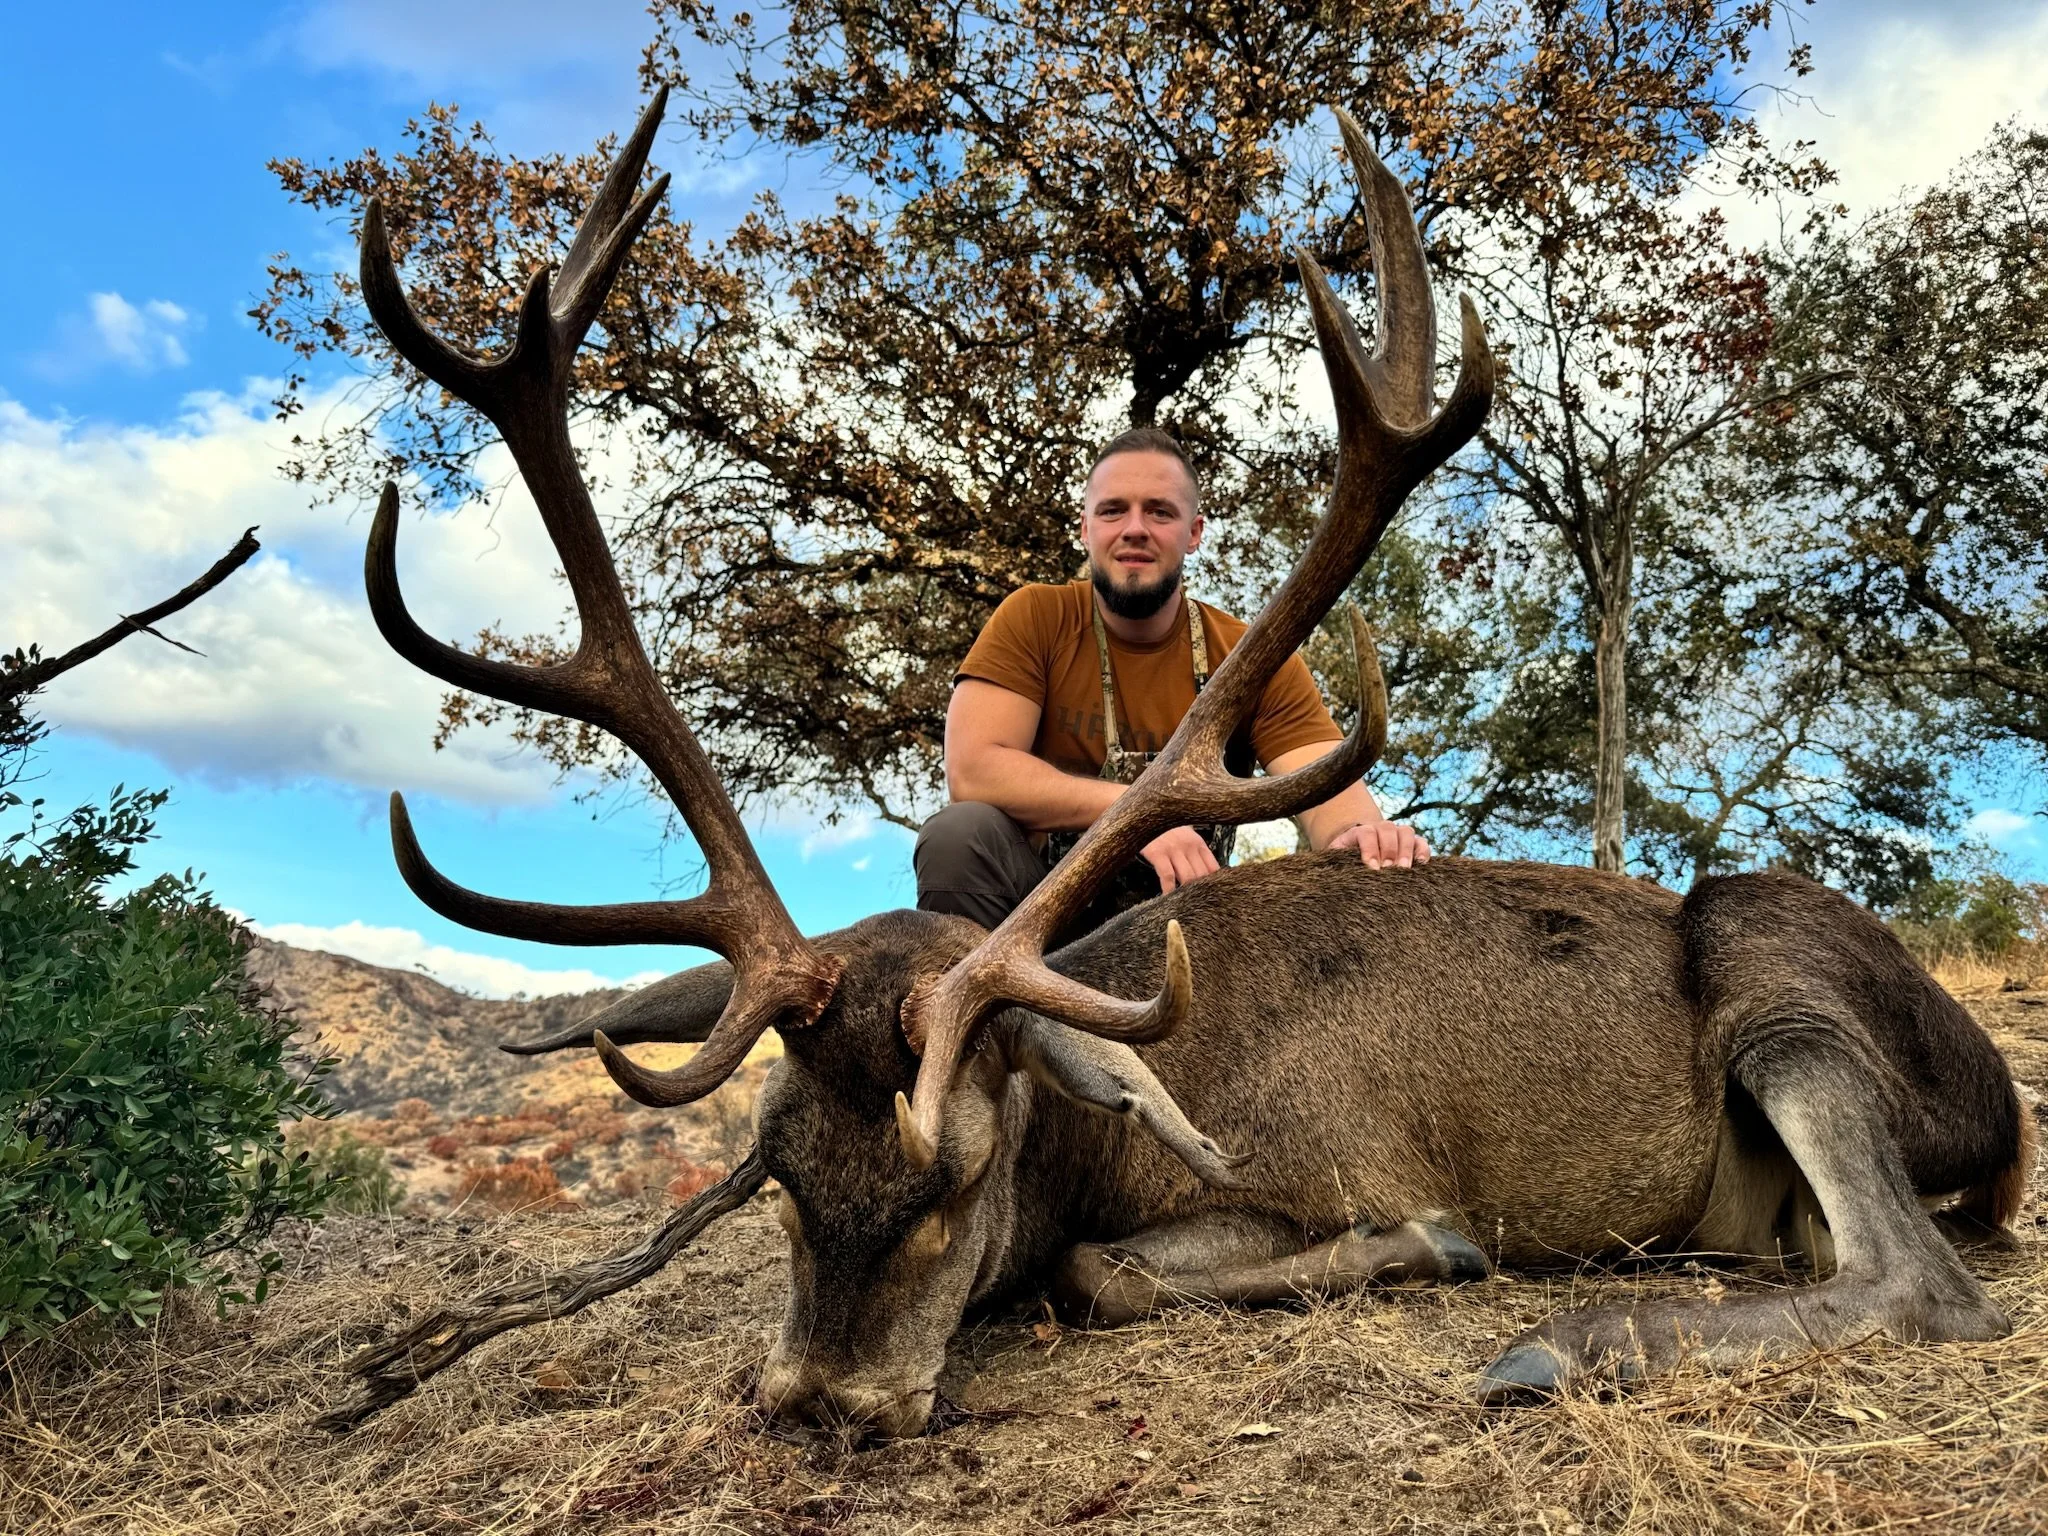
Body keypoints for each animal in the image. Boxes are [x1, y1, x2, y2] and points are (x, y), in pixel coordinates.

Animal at [352, 91, 2034, 1441]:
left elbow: (1110, 1274)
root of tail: (2007, 1132)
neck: (1105, 1137)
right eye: (775, 1175)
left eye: (960, 1179)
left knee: (1925, 1278)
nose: (825, 1399)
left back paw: (1569, 1341)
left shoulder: (1315, 1168)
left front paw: (1442, 1255)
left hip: (1775, 966)